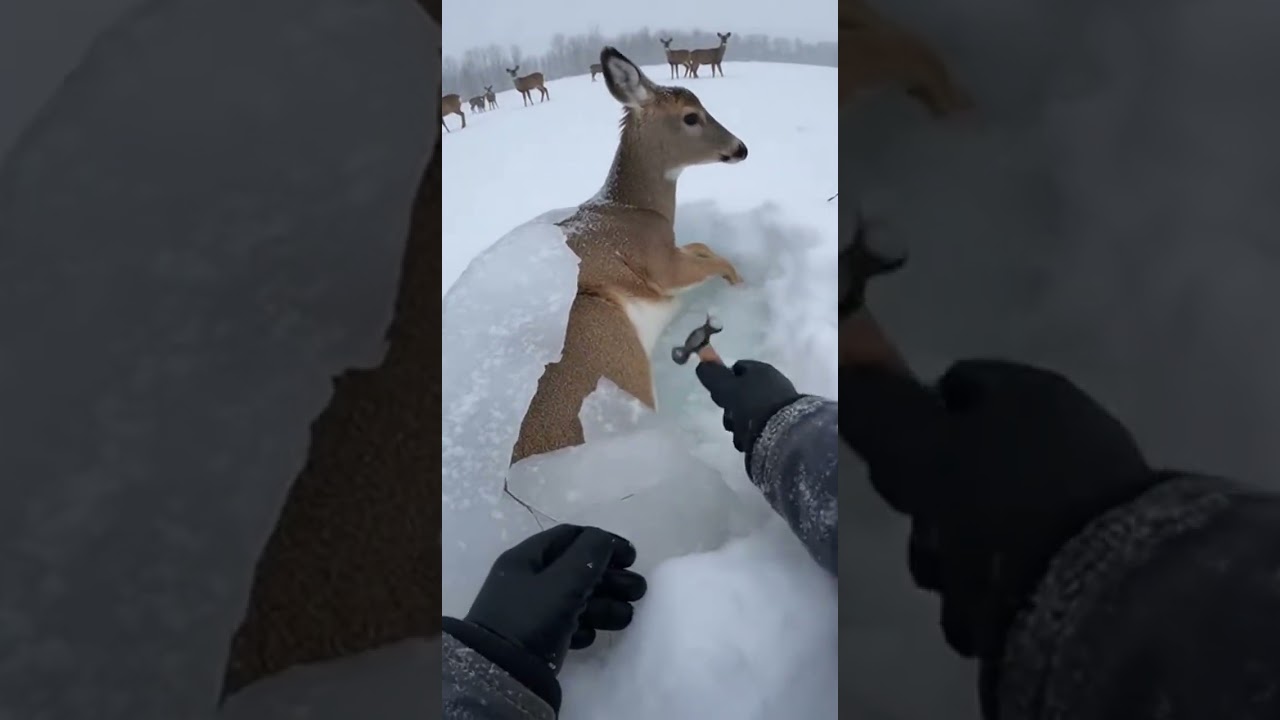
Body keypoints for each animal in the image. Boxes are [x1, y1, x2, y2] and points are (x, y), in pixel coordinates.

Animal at [511, 47, 749, 463]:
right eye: (691, 116)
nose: (741, 148)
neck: (636, 209)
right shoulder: (660, 265)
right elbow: (713, 259)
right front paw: (741, 283)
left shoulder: (671, 249)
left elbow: (702, 246)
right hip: (611, 348)